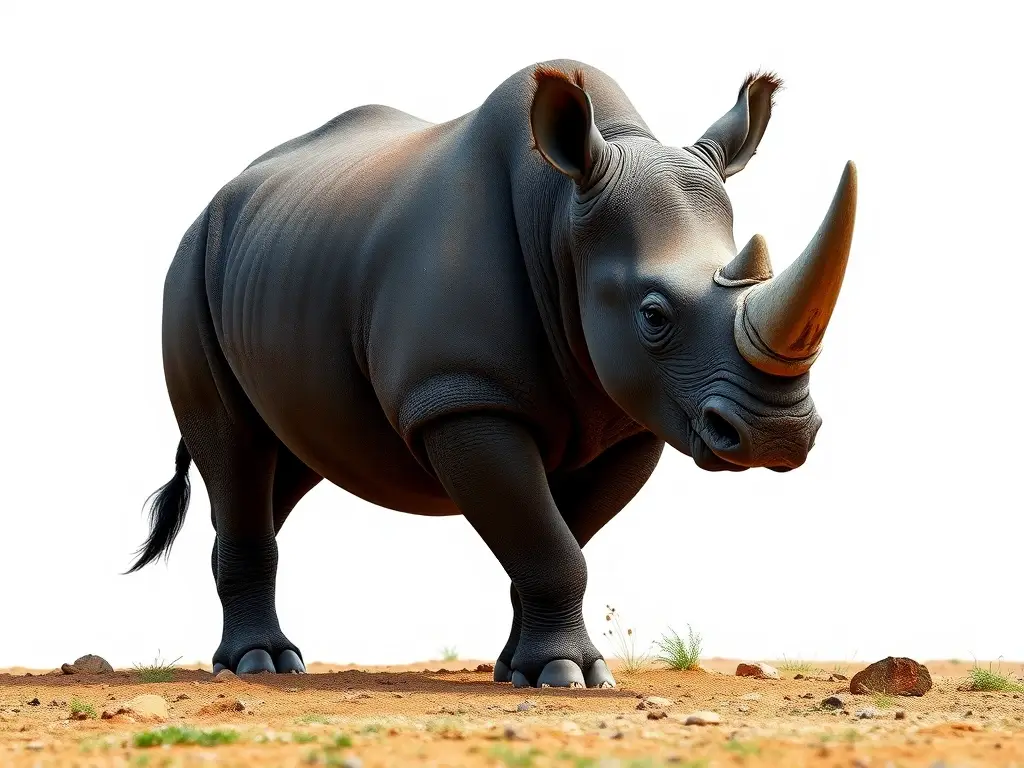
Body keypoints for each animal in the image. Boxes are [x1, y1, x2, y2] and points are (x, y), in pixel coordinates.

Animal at [128, 59, 857, 689]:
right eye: (653, 315)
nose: (779, 436)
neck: (564, 217)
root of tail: (219, 199)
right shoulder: (463, 398)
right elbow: (549, 543)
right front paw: (568, 676)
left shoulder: (632, 417)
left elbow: (556, 538)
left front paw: (525, 669)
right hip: (187, 267)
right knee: (234, 445)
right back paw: (262, 665)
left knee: (288, 460)